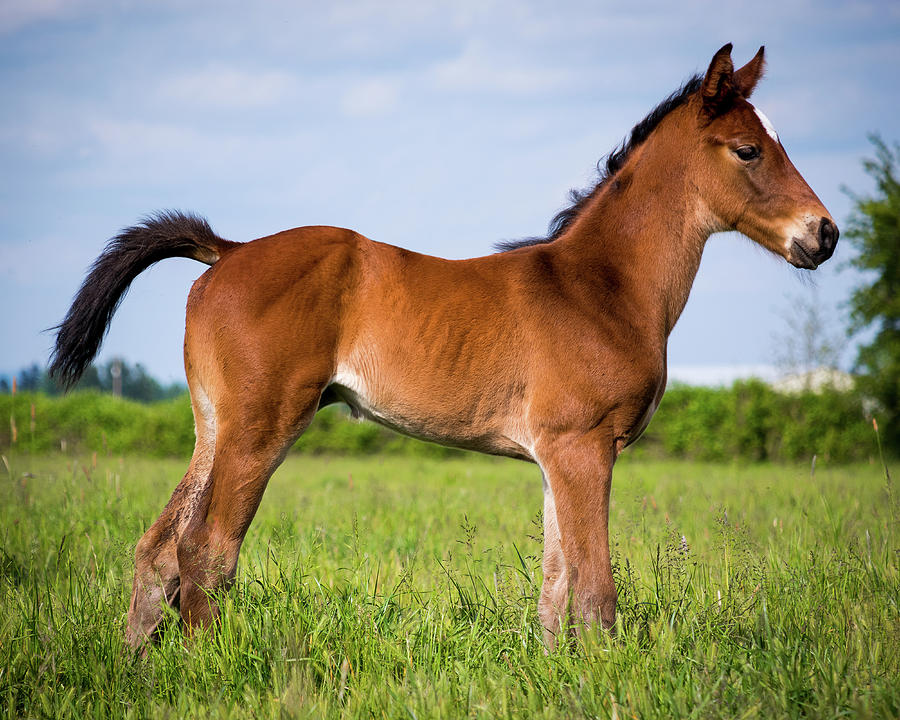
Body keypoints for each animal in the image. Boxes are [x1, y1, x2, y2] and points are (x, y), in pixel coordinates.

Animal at [47, 46, 836, 652]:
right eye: (748, 150)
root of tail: (228, 250)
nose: (824, 234)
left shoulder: (558, 454)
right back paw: (208, 664)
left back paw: (137, 667)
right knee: (204, 549)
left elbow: (556, 587)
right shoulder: (585, 447)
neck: (599, 286)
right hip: (260, 426)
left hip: (212, 425)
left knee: (157, 548)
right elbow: (595, 591)